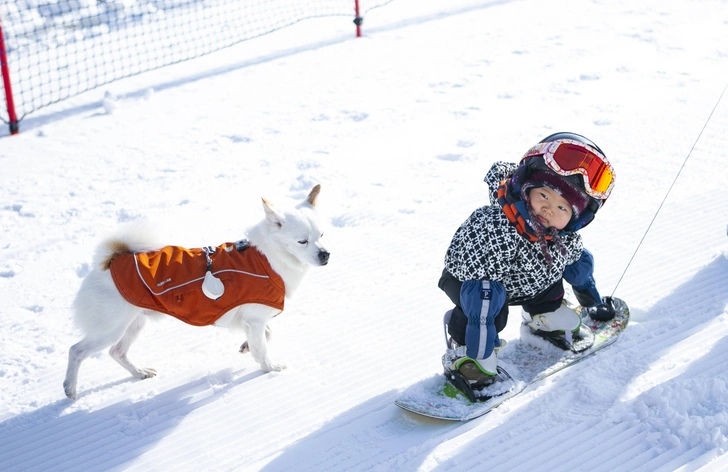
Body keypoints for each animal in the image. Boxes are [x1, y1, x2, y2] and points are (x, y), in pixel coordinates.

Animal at [64, 184, 328, 398]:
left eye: (322, 235)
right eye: (302, 241)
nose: (325, 254)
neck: (267, 258)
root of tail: (108, 262)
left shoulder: (250, 320)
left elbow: (266, 336)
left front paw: (246, 346)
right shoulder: (254, 319)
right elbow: (262, 348)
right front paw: (269, 369)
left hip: (135, 323)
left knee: (116, 352)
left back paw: (139, 372)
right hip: (110, 328)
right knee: (76, 350)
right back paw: (70, 388)